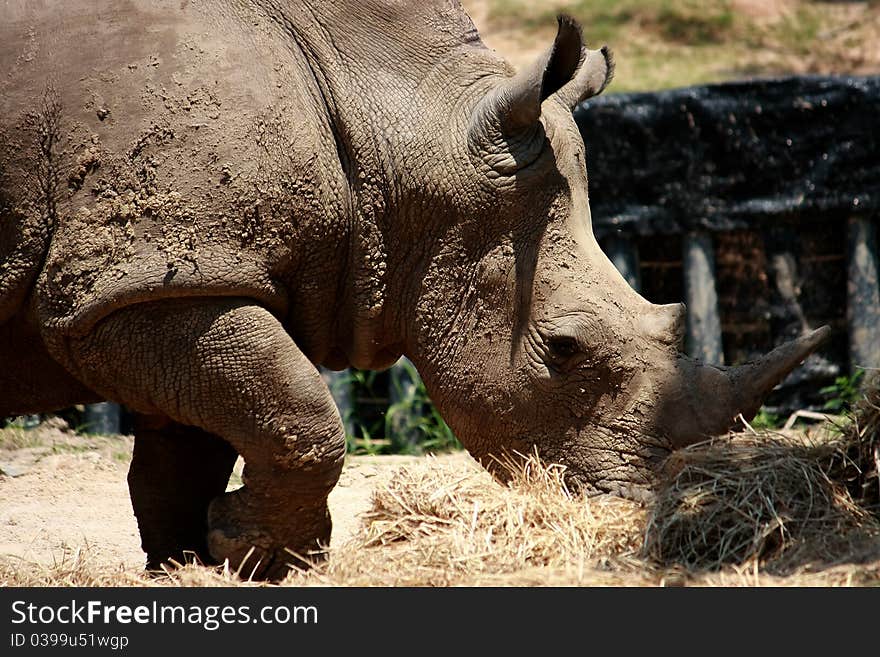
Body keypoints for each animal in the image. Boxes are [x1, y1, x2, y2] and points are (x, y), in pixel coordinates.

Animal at [0, 0, 824, 576]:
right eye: (563, 347)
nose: (633, 510)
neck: (399, 121)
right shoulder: (143, 284)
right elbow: (299, 415)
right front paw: (258, 553)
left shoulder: (174, 273)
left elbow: (190, 441)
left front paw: (193, 560)